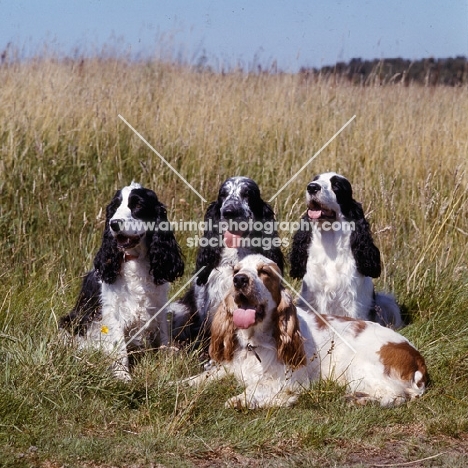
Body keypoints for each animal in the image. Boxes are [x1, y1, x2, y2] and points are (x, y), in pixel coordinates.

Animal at [61, 181, 185, 378]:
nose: (114, 224)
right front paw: (123, 376)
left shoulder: (158, 305)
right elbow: (119, 348)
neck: (135, 260)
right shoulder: (113, 312)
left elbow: (164, 338)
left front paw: (167, 366)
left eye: (138, 205)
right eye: (114, 207)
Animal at [184, 254, 428, 408]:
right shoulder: (231, 366)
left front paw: (244, 400)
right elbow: (203, 376)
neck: (256, 341)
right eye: (236, 270)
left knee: (396, 395)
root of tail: (417, 359)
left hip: (359, 367)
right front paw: (181, 384)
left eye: (264, 272)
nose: (239, 280)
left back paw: (360, 399)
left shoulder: (292, 379)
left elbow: (260, 388)